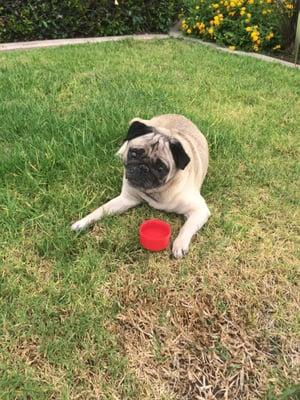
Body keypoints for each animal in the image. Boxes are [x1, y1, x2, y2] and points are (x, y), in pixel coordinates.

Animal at [71, 114, 210, 258]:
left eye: (160, 168)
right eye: (134, 154)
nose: (144, 167)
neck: (156, 192)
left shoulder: (199, 210)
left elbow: (186, 228)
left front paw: (180, 244)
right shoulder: (126, 199)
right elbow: (101, 210)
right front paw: (83, 222)